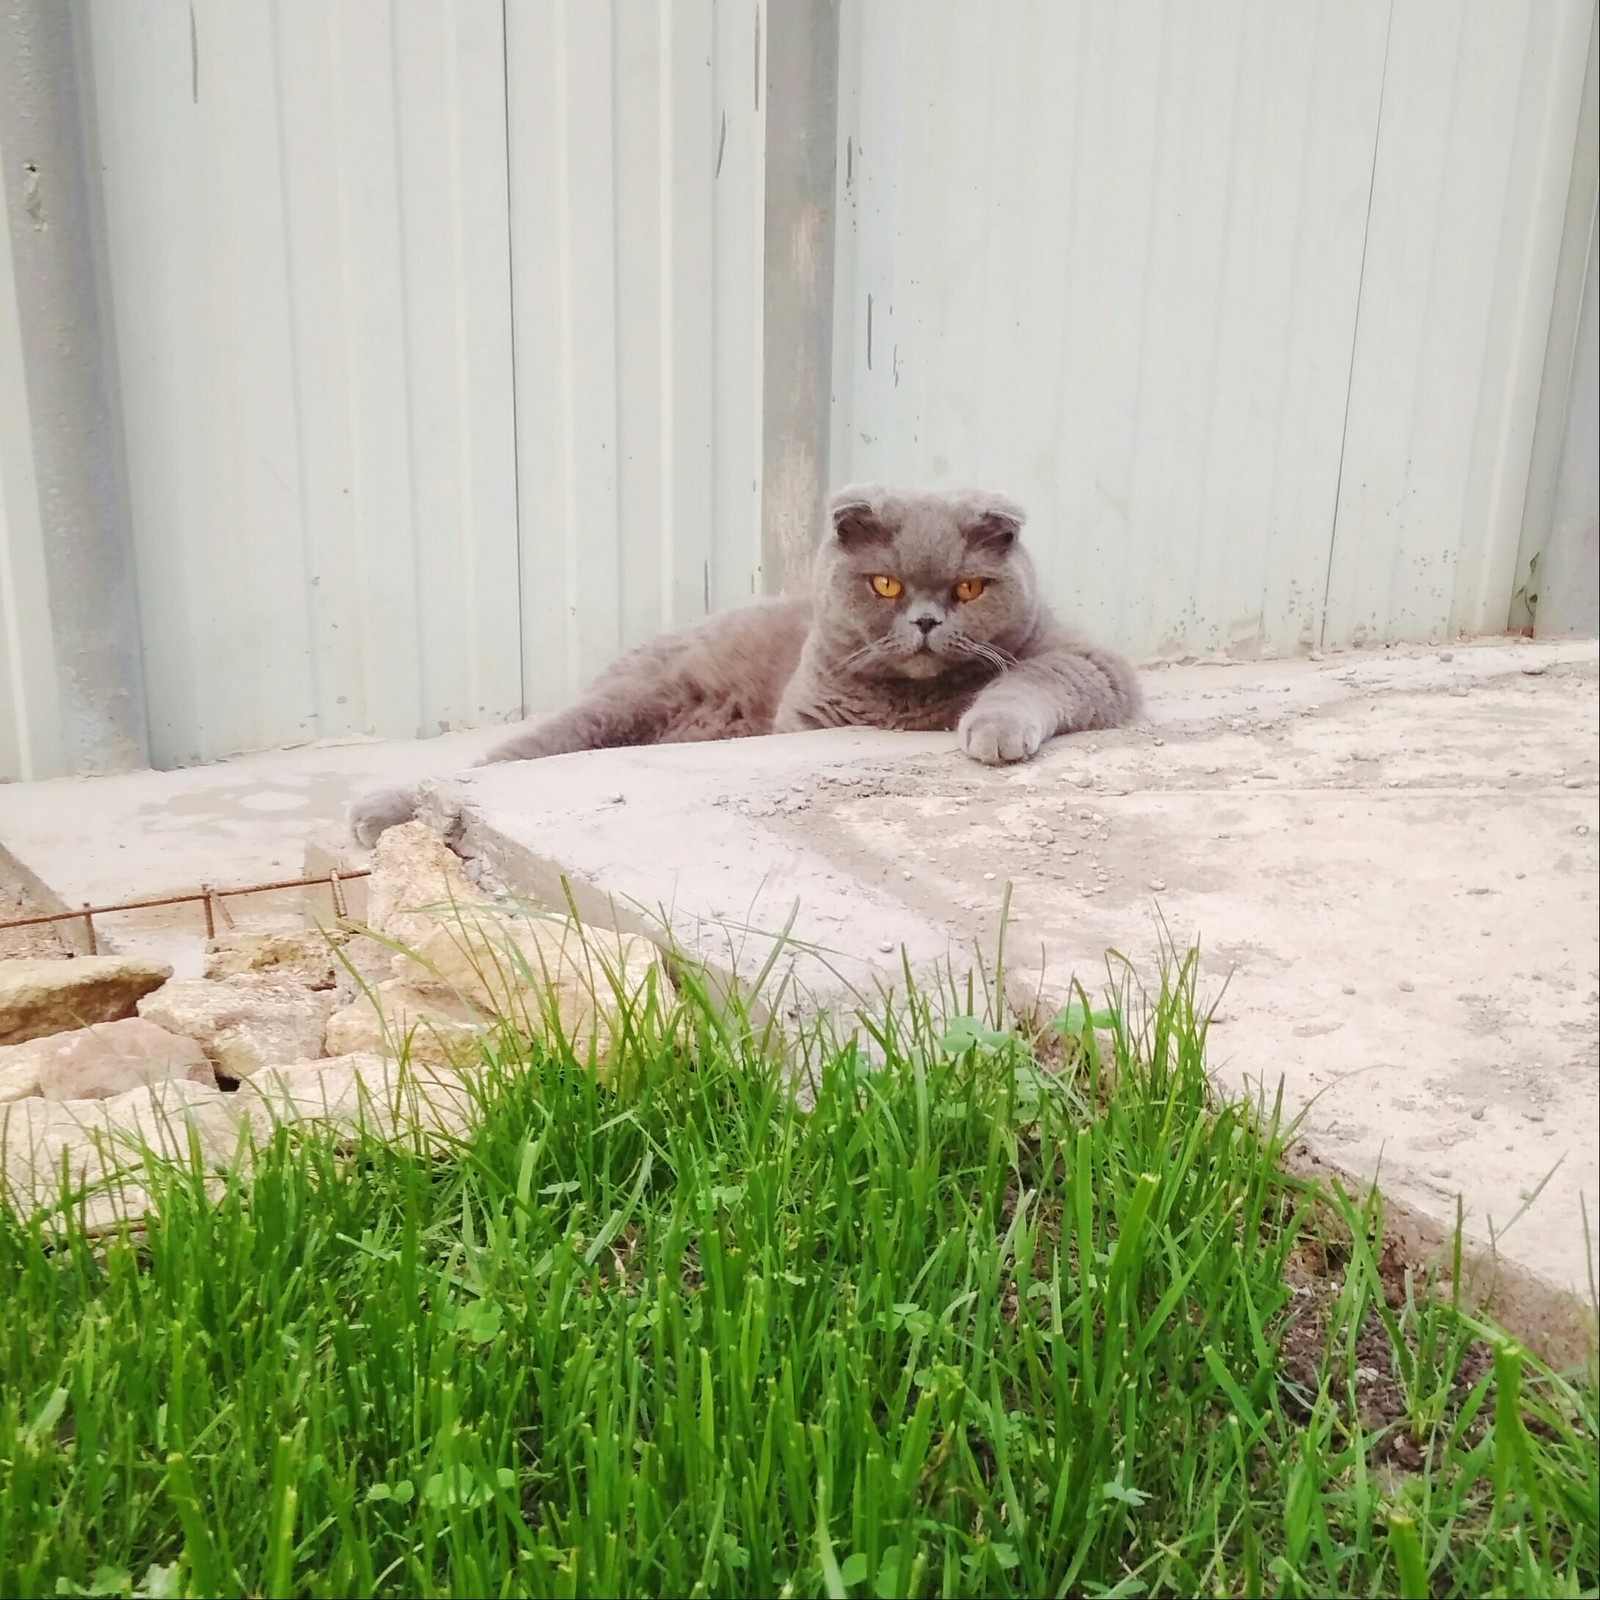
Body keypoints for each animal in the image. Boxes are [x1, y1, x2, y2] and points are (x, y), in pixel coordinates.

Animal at [353, 480, 1139, 844]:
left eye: (969, 589)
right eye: (886, 584)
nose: (924, 621)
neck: (910, 705)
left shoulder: (1095, 664)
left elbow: (1031, 675)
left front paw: (990, 727)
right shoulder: (807, 719)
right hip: (618, 703)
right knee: (495, 763)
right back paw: (378, 809)